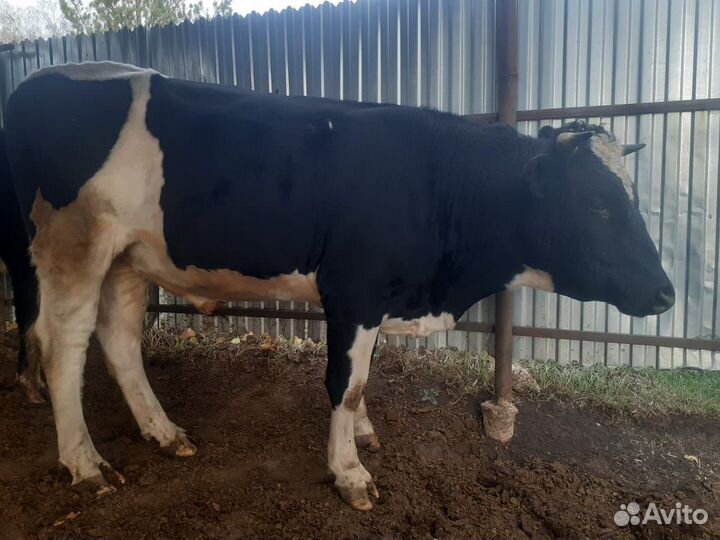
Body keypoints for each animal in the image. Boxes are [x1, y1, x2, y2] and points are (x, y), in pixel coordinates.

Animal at [5, 61, 674, 511]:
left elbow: (363, 379)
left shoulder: (373, 303)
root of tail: (40, 80)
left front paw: (364, 436)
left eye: (633, 198)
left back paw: (165, 433)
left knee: (119, 341)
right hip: (73, 245)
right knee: (62, 346)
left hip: (128, 257)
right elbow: (344, 385)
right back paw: (85, 462)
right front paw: (349, 472)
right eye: (596, 206)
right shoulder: (353, 291)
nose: (666, 293)